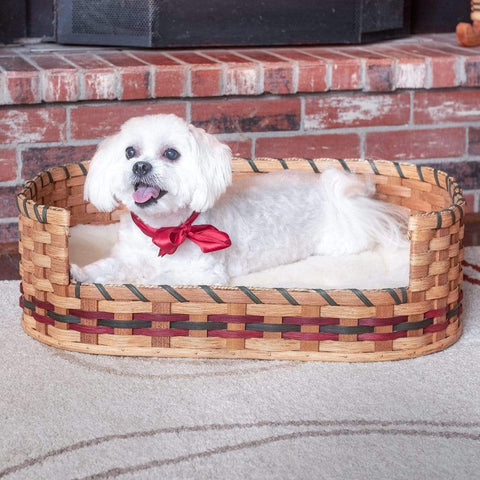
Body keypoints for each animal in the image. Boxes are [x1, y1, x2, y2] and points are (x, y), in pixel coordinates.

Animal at [70, 113, 408, 284]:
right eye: (130, 152)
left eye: (171, 154)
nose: (140, 166)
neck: (164, 230)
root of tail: (330, 190)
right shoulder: (126, 256)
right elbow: (108, 267)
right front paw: (79, 273)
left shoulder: (204, 275)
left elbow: (156, 276)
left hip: (340, 239)